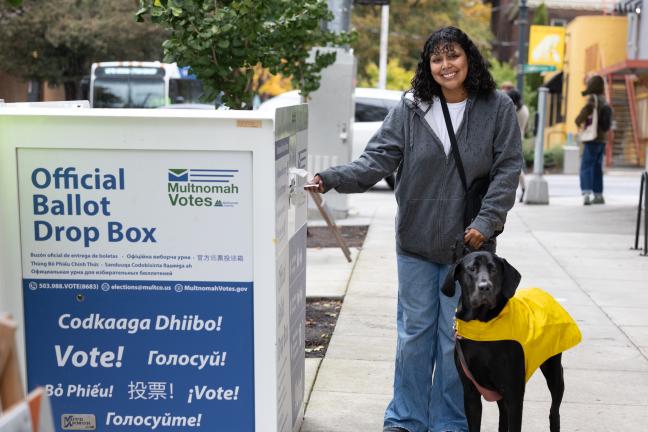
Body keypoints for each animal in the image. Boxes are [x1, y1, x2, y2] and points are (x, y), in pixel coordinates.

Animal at [440, 251, 576, 432]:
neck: (482, 325)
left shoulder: (514, 394)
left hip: (554, 373)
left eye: (494, 269)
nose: (485, 287)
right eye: (472, 269)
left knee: (554, 411)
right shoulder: (471, 393)